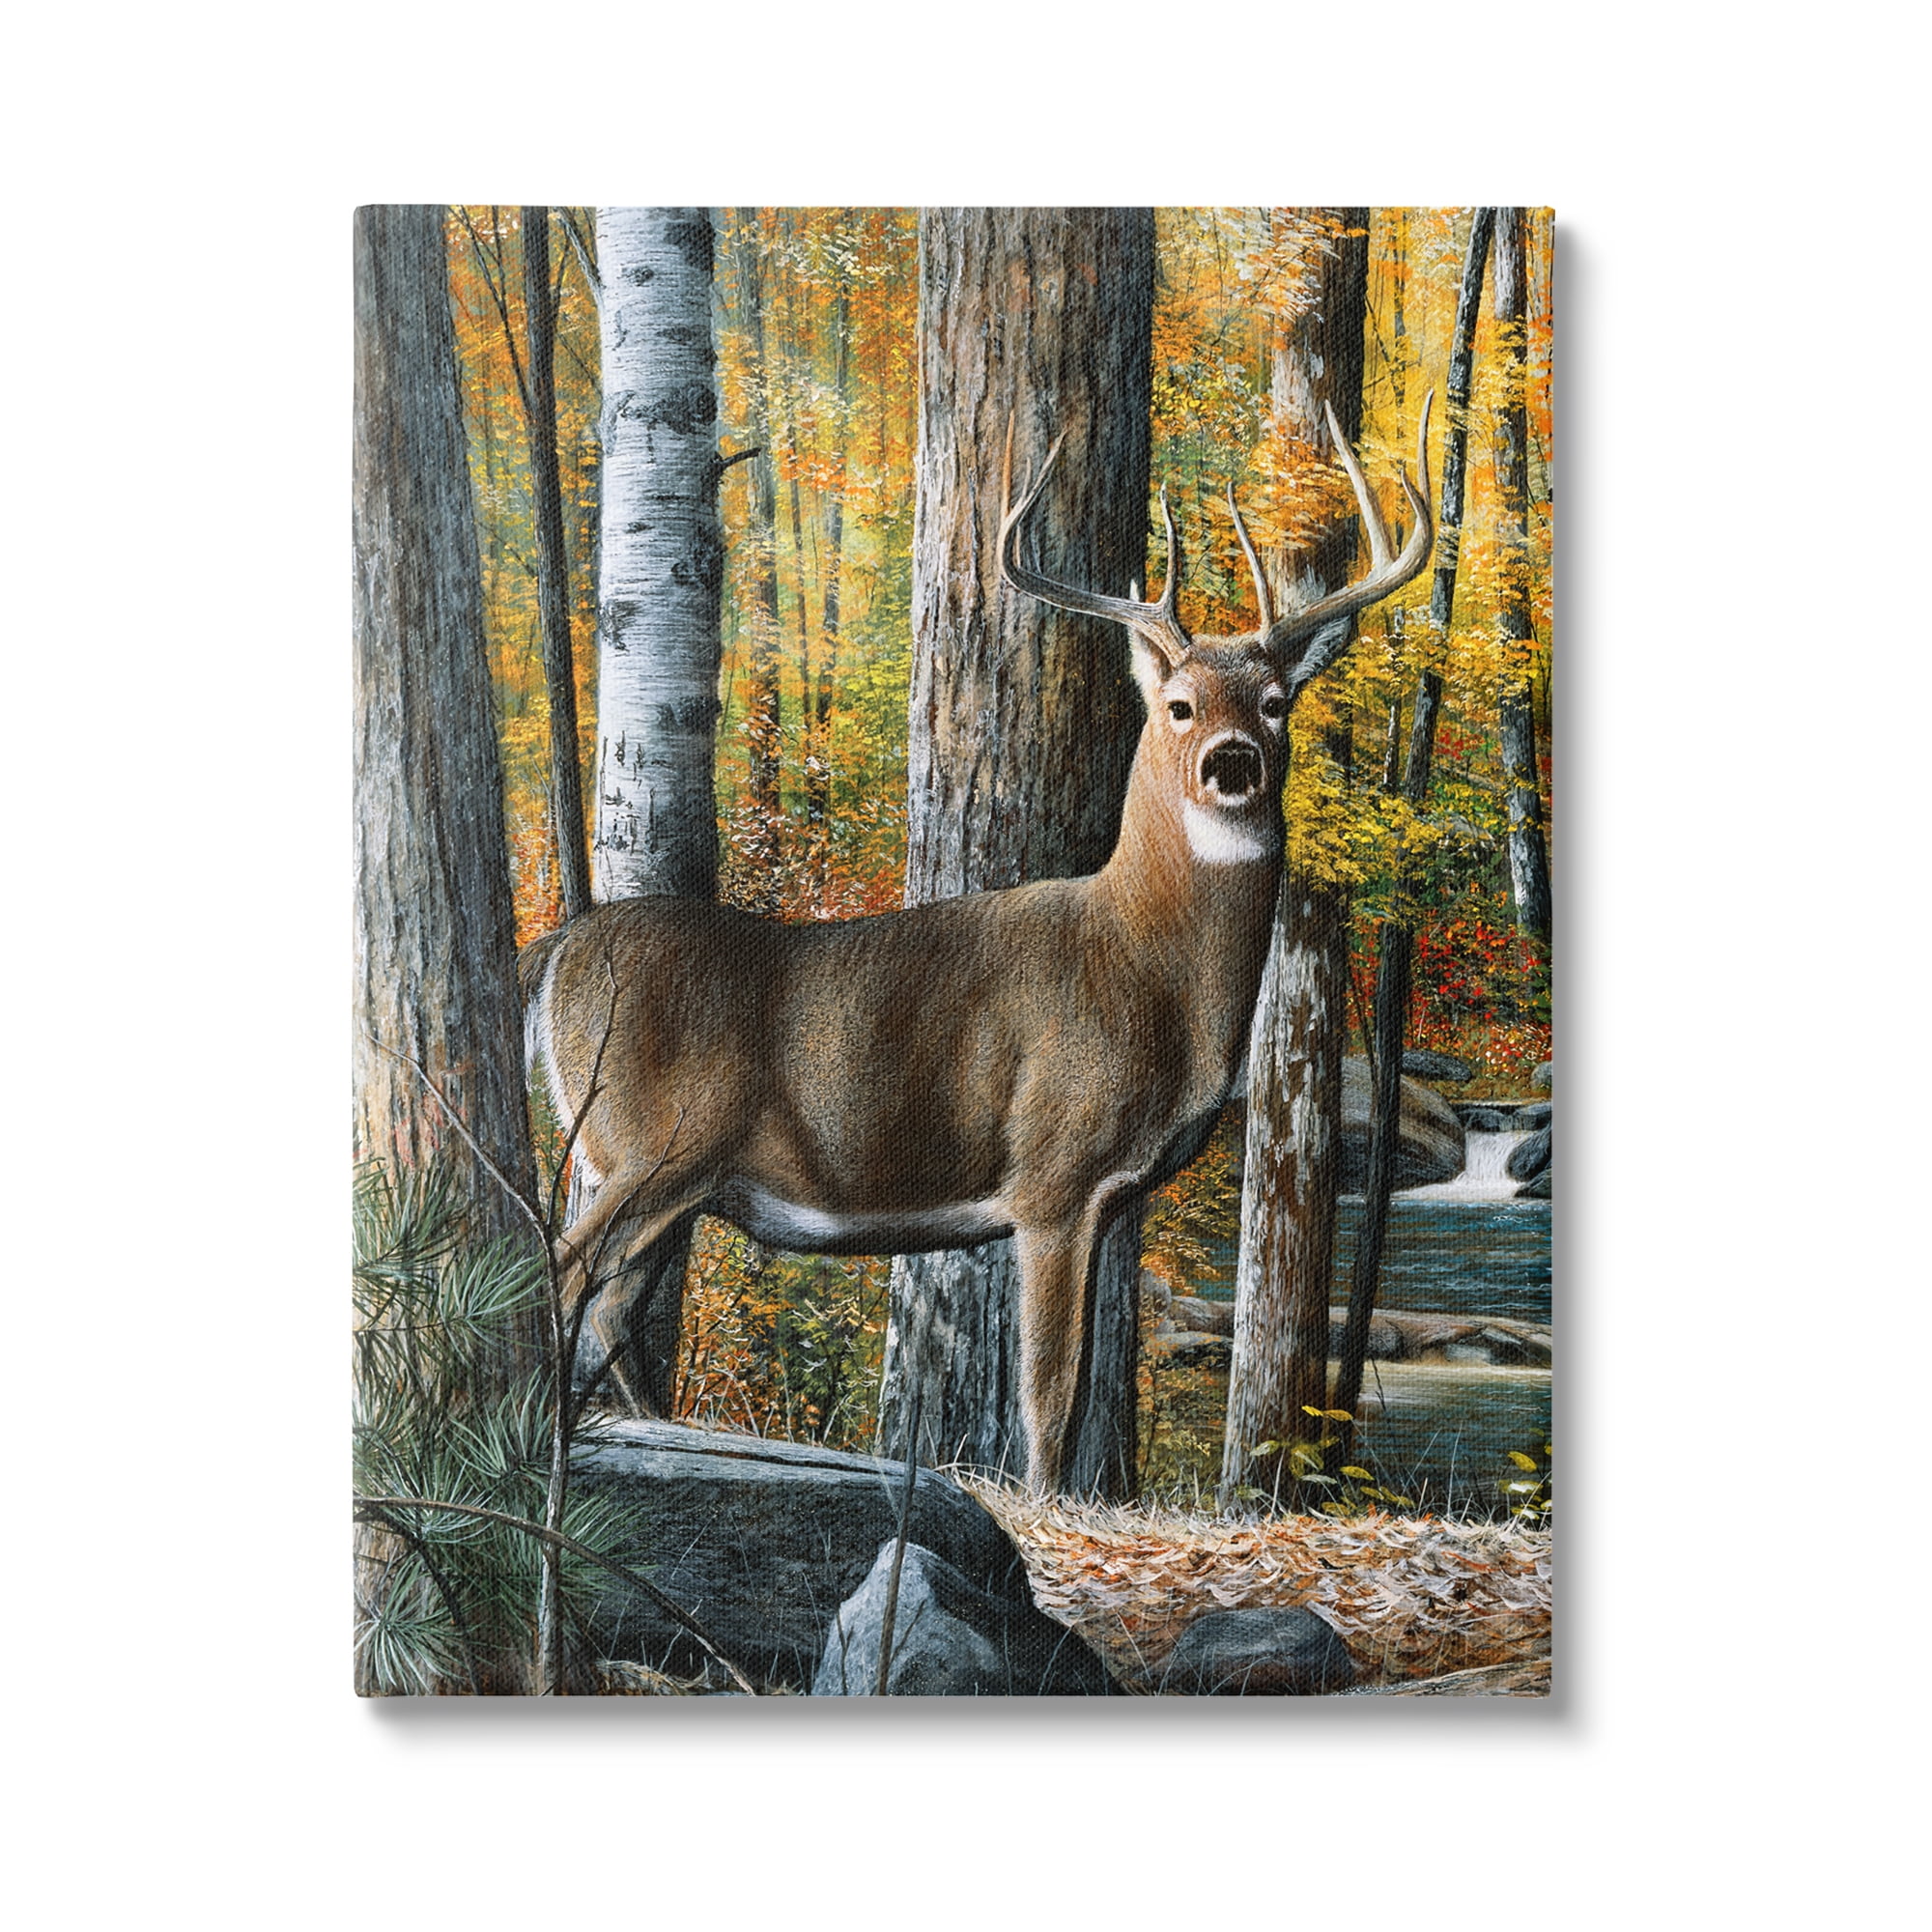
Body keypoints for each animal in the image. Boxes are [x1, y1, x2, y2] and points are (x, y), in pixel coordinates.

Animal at [521, 398, 1433, 1495]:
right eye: (1178, 705)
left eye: (1274, 702)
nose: (1231, 762)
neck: (1147, 967)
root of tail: (554, 955)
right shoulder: (1051, 1170)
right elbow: (1049, 1390)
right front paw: (1040, 1505)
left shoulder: (1110, 1197)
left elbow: (1076, 1384)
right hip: (650, 1140)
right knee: (561, 1269)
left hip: (671, 1172)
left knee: (608, 1299)